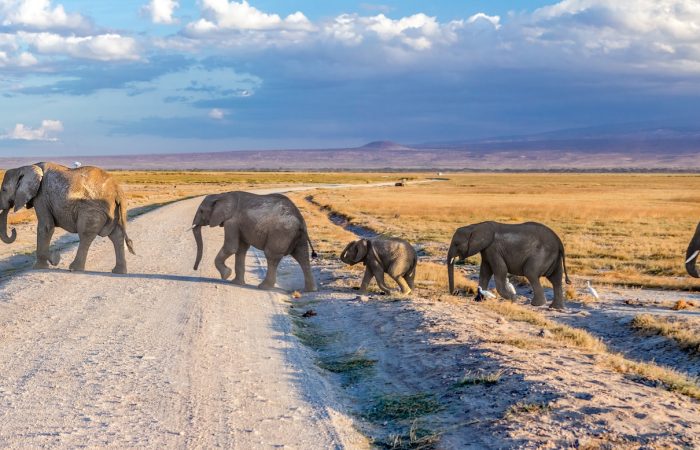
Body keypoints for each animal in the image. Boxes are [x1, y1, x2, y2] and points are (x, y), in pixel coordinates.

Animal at [0, 163, 135, 272]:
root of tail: (118, 190)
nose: (13, 229)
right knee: (116, 235)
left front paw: (42, 265)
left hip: (92, 210)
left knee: (86, 234)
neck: (25, 167)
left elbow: (46, 227)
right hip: (113, 211)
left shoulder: (41, 196)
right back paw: (118, 271)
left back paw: (75, 268)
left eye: (4, 189)